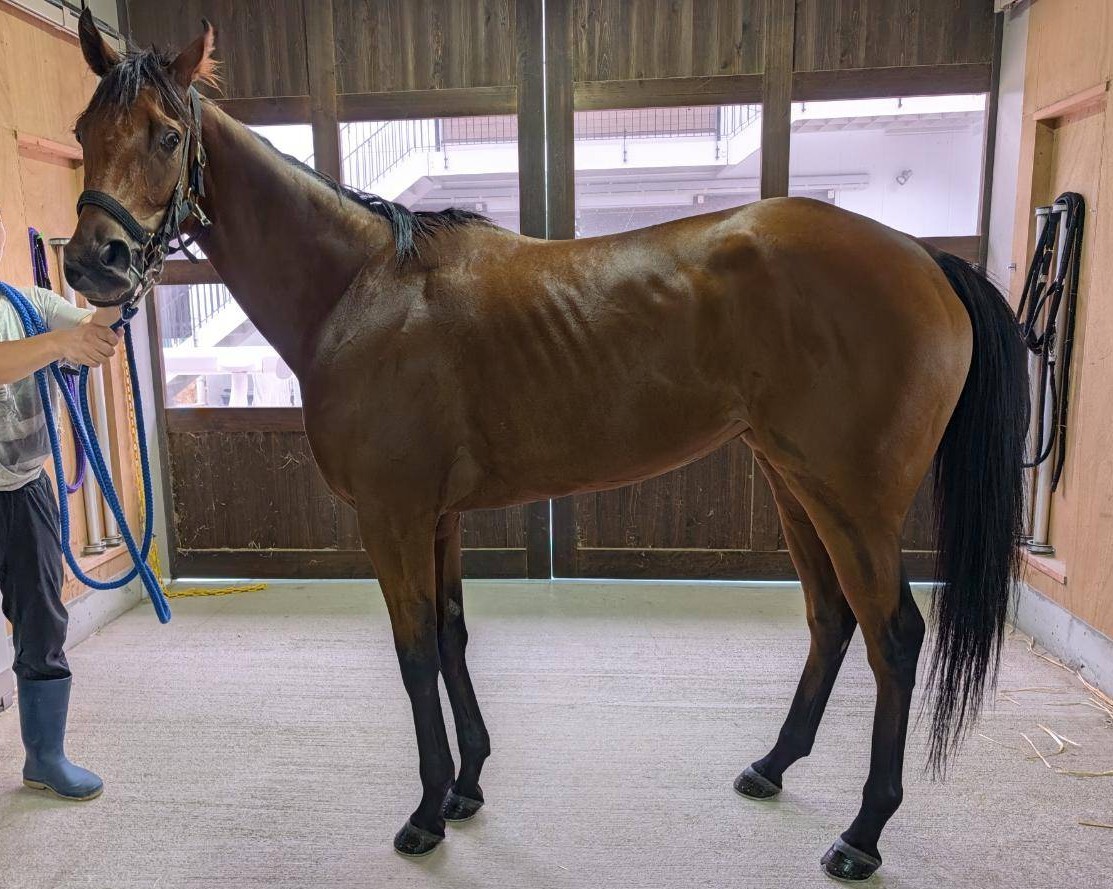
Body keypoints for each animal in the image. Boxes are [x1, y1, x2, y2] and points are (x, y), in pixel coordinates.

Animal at [65, 12, 1028, 882]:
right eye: (82, 134)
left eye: (165, 135)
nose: (90, 262)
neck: (359, 291)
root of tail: (923, 257)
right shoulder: (438, 518)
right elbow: (450, 635)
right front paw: (466, 786)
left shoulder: (392, 518)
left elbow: (415, 652)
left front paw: (425, 813)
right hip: (793, 483)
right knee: (830, 619)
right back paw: (770, 765)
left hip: (852, 501)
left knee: (893, 635)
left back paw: (861, 834)